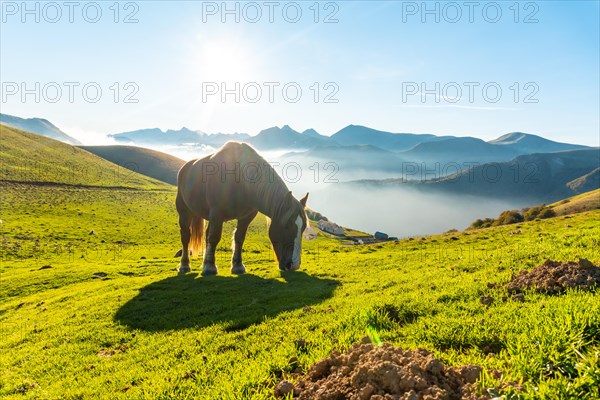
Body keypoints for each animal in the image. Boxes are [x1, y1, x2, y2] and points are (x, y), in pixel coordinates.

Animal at [172, 142, 304, 276]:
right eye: (286, 226)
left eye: (303, 228)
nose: (293, 265)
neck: (240, 180)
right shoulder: (217, 215)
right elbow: (214, 237)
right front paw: (209, 267)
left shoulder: (246, 217)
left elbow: (239, 238)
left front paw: (237, 266)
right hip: (184, 213)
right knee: (186, 236)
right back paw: (184, 265)